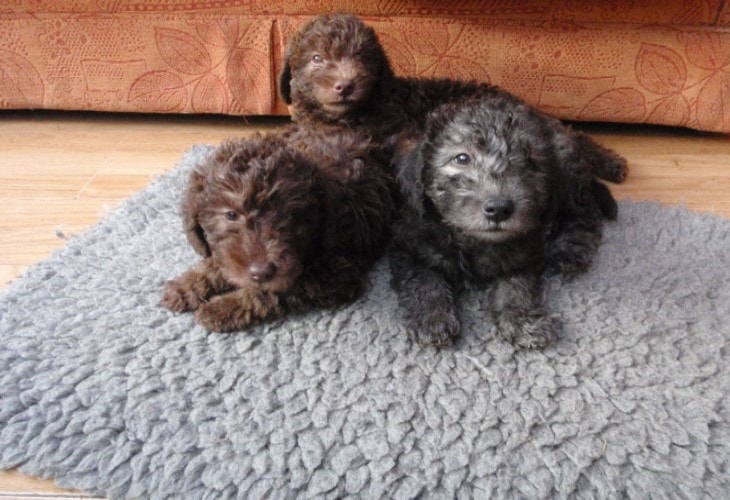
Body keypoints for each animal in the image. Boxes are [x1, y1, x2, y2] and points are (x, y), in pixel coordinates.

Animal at [162, 127, 396, 334]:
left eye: (290, 216)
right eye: (231, 215)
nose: (260, 272)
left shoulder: (338, 272)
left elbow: (273, 291)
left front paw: (222, 308)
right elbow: (220, 260)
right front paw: (187, 286)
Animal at [390, 95, 624, 350]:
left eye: (530, 161)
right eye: (462, 158)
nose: (499, 208)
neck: (473, 240)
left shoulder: (524, 250)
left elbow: (516, 286)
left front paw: (523, 322)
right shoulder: (412, 243)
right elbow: (422, 278)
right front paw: (432, 318)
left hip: (569, 182)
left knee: (585, 212)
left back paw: (571, 248)